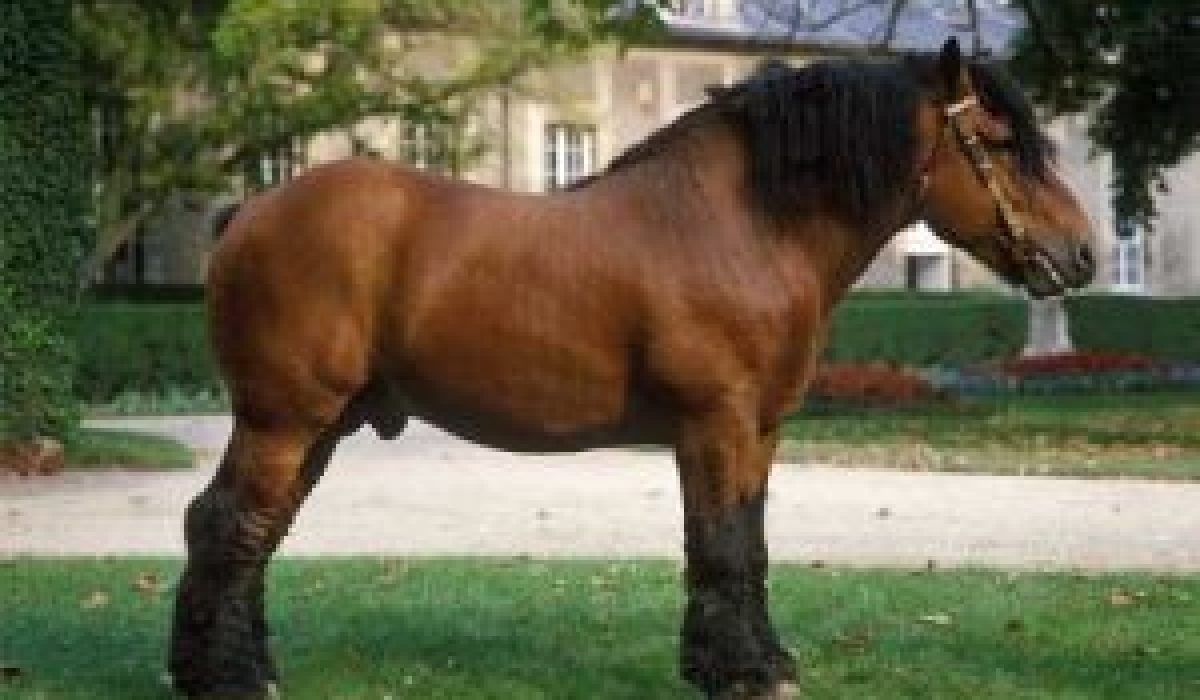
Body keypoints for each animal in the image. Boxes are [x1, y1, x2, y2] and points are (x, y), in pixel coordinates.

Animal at [170, 38, 1095, 699]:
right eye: (1002, 142)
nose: (1081, 253)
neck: (748, 224)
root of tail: (248, 211)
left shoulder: (759, 430)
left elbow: (750, 542)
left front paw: (765, 662)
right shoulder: (715, 423)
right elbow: (719, 545)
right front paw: (738, 673)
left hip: (321, 423)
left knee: (255, 531)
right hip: (283, 418)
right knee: (227, 527)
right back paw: (230, 679)